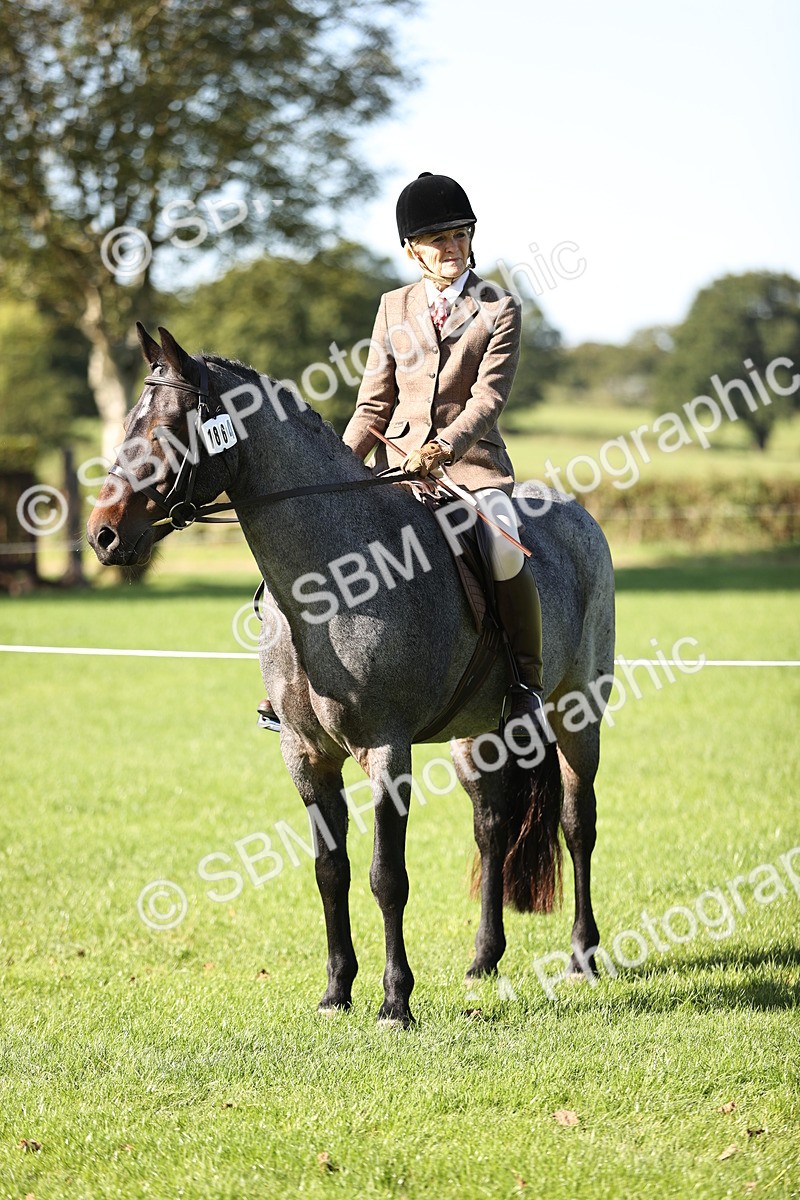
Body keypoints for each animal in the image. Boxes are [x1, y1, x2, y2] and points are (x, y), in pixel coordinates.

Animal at [87, 324, 615, 1025]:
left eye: (168, 427)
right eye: (129, 423)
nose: (103, 535)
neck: (333, 580)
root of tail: (577, 514)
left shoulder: (386, 752)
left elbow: (386, 878)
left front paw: (395, 1001)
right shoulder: (306, 756)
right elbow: (329, 873)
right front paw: (337, 991)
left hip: (578, 713)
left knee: (578, 824)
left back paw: (583, 956)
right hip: (478, 734)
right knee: (492, 828)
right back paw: (483, 960)